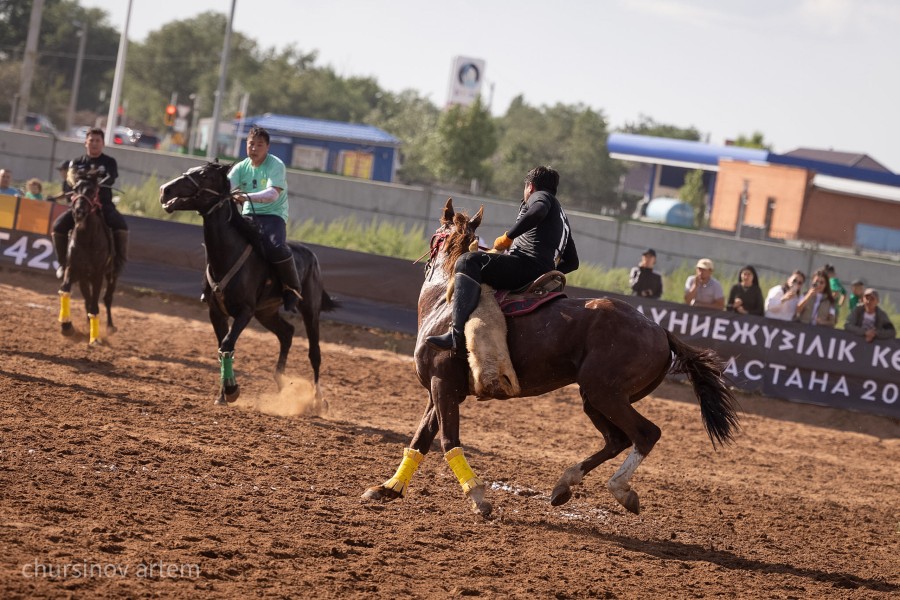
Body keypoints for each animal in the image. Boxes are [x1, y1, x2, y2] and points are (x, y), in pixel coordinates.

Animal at [58, 169, 118, 346]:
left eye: (92, 191)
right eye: (75, 189)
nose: (78, 211)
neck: (87, 238)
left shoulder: (98, 275)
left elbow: (95, 305)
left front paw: (95, 337)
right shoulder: (72, 269)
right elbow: (65, 290)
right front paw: (66, 326)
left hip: (112, 275)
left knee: (106, 298)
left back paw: (110, 327)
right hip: (84, 278)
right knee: (87, 299)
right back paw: (86, 324)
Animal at [158, 162, 338, 410]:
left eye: (203, 175)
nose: (165, 190)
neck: (228, 256)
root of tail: (312, 256)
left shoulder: (245, 312)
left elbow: (227, 344)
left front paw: (231, 390)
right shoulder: (216, 312)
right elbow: (223, 347)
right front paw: (222, 395)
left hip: (310, 309)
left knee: (315, 353)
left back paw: (318, 401)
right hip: (266, 312)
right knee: (287, 333)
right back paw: (281, 384)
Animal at [362, 200, 740, 516]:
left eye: (435, 235)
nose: (426, 262)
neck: (445, 301)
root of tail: (659, 329)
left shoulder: (443, 387)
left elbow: (448, 441)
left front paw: (479, 498)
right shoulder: (441, 390)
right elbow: (420, 441)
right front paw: (388, 488)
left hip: (605, 392)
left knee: (645, 434)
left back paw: (619, 489)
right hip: (595, 398)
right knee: (617, 439)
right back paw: (565, 484)